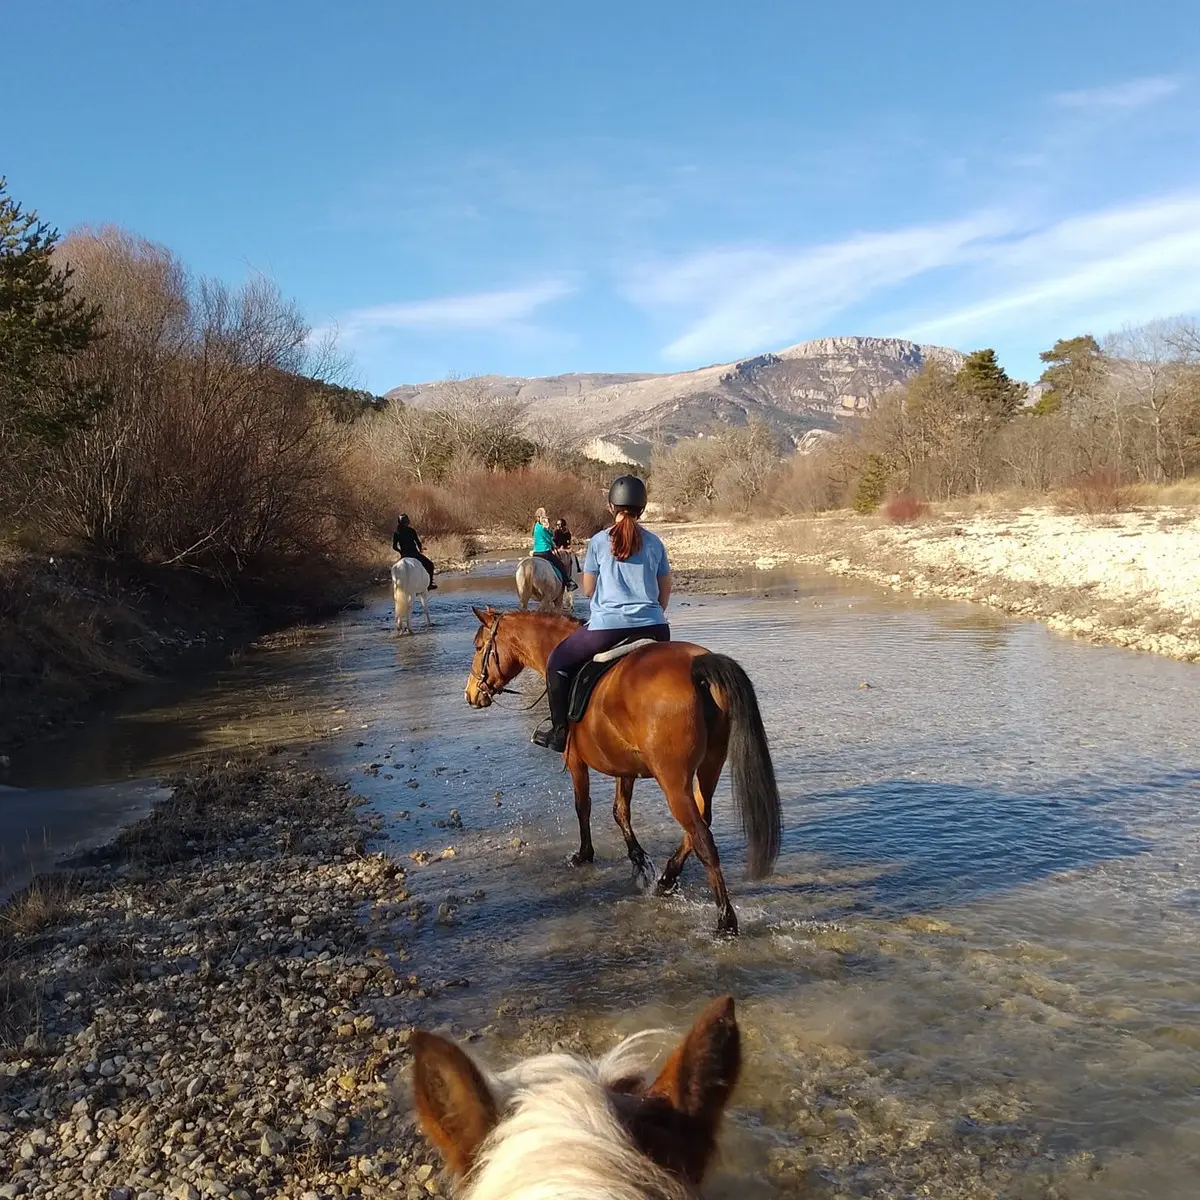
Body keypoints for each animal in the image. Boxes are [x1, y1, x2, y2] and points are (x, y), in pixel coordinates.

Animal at [463, 609, 782, 936]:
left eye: (478, 647)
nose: (471, 694)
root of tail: (697, 667)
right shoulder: (624, 765)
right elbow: (620, 811)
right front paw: (638, 859)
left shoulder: (575, 760)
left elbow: (583, 807)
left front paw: (584, 854)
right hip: (710, 765)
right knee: (700, 821)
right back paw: (667, 880)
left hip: (673, 780)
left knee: (702, 837)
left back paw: (725, 921)